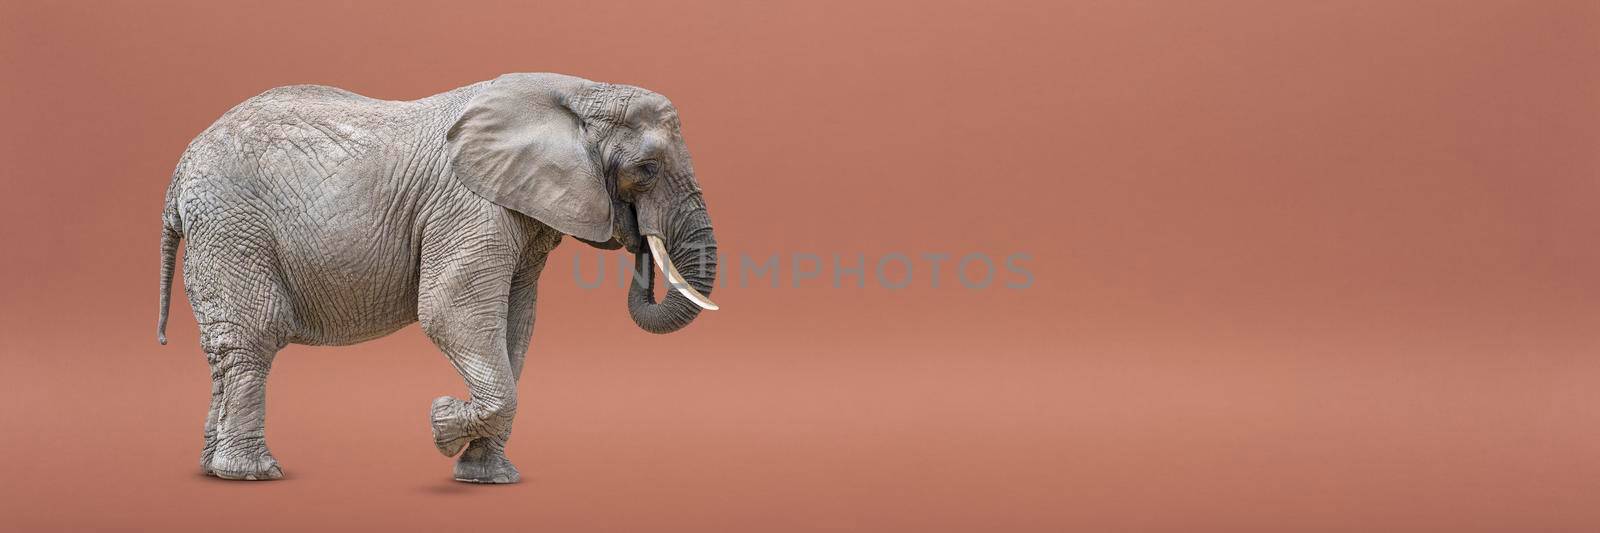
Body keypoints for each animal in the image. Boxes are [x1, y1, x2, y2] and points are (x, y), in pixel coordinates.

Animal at [154, 73, 720, 480]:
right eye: (647, 169)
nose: (640, 240)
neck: (579, 92)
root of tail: (179, 172)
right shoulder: (470, 205)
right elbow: (451, 310)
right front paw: (442, 420)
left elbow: (515, 325)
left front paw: (488, 477)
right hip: (232, 228)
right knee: (253, 338)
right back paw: (251, 474)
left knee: (225, 351)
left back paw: (212, 469)